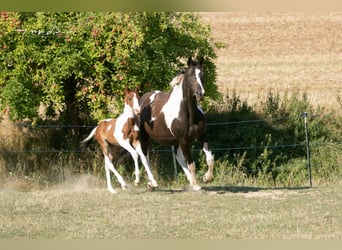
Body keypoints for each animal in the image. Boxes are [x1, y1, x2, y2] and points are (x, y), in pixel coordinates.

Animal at [138, 57, 214, 189]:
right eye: (191, 75)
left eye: (202, 74)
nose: (200, 94)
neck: (189, 115)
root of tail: (144, 99)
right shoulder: (184, 141)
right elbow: (191, 163)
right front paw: (196, 185)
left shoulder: (201, 136)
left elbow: (210, 159)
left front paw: (206, 178)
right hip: (145, 137)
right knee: (144, 157)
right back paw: (153, 182)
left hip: (175, 141)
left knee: (178, 157)